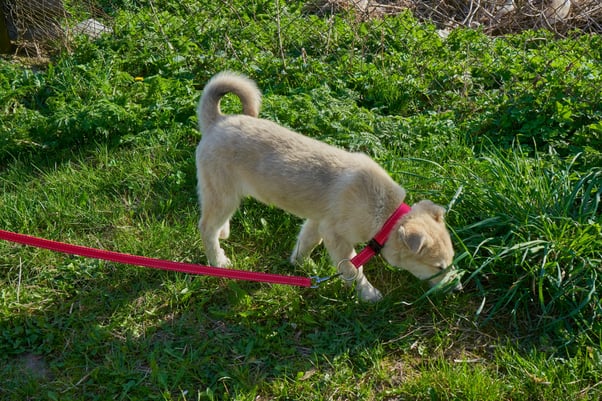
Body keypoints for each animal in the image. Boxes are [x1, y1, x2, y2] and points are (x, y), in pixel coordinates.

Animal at [195, 71, 458, 300]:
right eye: (438, 266)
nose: (457, 288)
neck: (386, 215)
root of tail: (217, 121)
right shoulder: (337, 236)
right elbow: (353, 269)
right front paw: (368, 294)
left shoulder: (318, 222)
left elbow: (306, 243)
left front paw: (302, 266)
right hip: (222, 195)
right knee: (206, 228)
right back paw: (218, 261)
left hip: (226, 196)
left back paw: (224, 233)